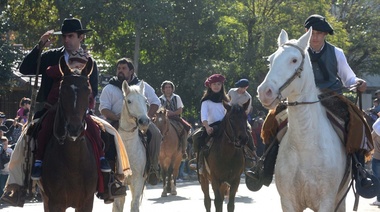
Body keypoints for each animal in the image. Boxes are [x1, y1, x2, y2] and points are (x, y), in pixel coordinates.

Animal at [111, 80, 150, 211]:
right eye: (129, 101)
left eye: (145, 100)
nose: (144, 121)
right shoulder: (117, 183)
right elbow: (118, 205)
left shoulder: (138, 181)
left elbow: (134, 204)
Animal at [256, 28, 348, 212]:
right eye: (271, 60)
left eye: (294, 60)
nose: (264, 92)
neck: (305, 146)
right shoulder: (288, 201)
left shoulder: (326, 201)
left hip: (340, 198)